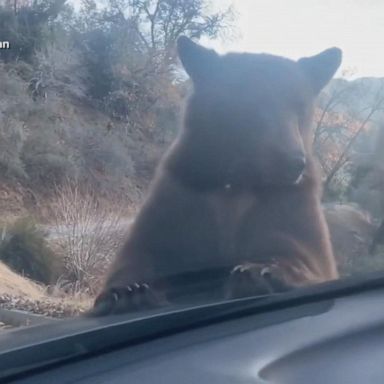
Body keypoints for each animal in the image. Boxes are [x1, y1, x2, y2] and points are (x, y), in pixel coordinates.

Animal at [91, 37, 342, 316]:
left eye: (300, 107)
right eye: (251, 103)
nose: (293, 163)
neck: (240, 182)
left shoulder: (290, 204)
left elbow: (304, 256)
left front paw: (261, 271)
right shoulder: (182, 191)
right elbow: (140, 253)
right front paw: (128, 291)